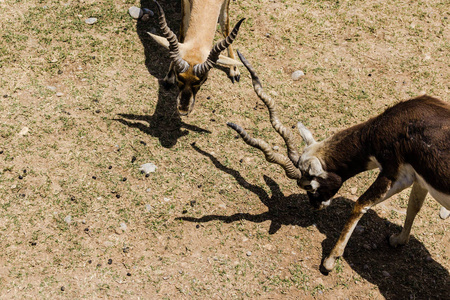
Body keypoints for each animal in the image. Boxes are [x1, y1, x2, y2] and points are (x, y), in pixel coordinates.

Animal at [229, 51, 450, 272]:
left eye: (308, 186)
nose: (316, 205)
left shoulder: (392, 173)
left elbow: (360, 205)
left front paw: (330, 260)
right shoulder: (420, 180)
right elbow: (414, 206)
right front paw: (398, 240)